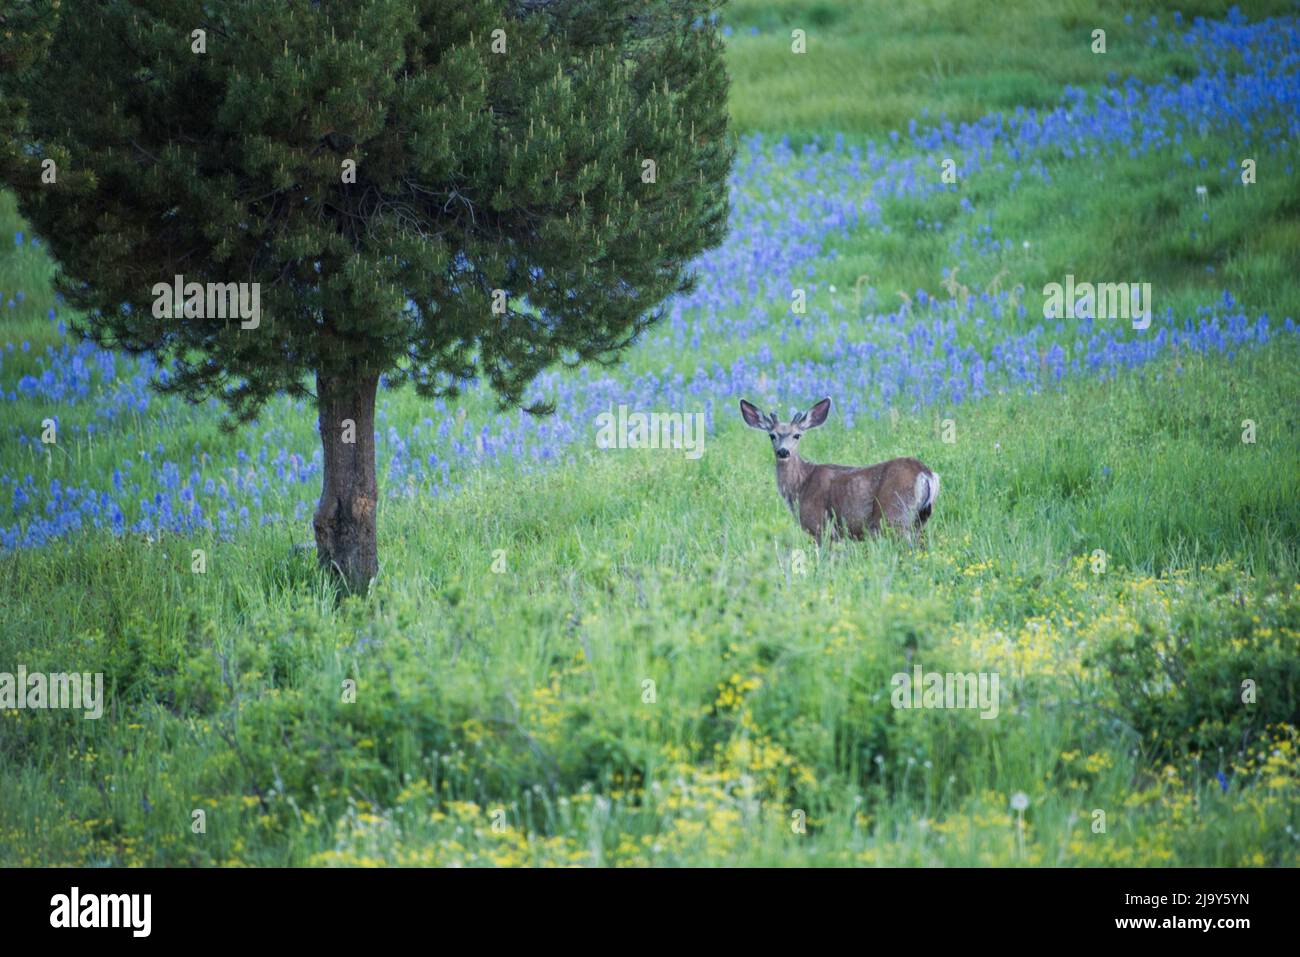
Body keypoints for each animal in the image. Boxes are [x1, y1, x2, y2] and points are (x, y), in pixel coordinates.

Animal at [743, 395, 935, 546]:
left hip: (894, 516)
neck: (800, 486)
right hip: (920, 519)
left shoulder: (820, 526)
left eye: (797, 435)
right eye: (772, 435)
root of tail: (925, 473)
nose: (783, 451)